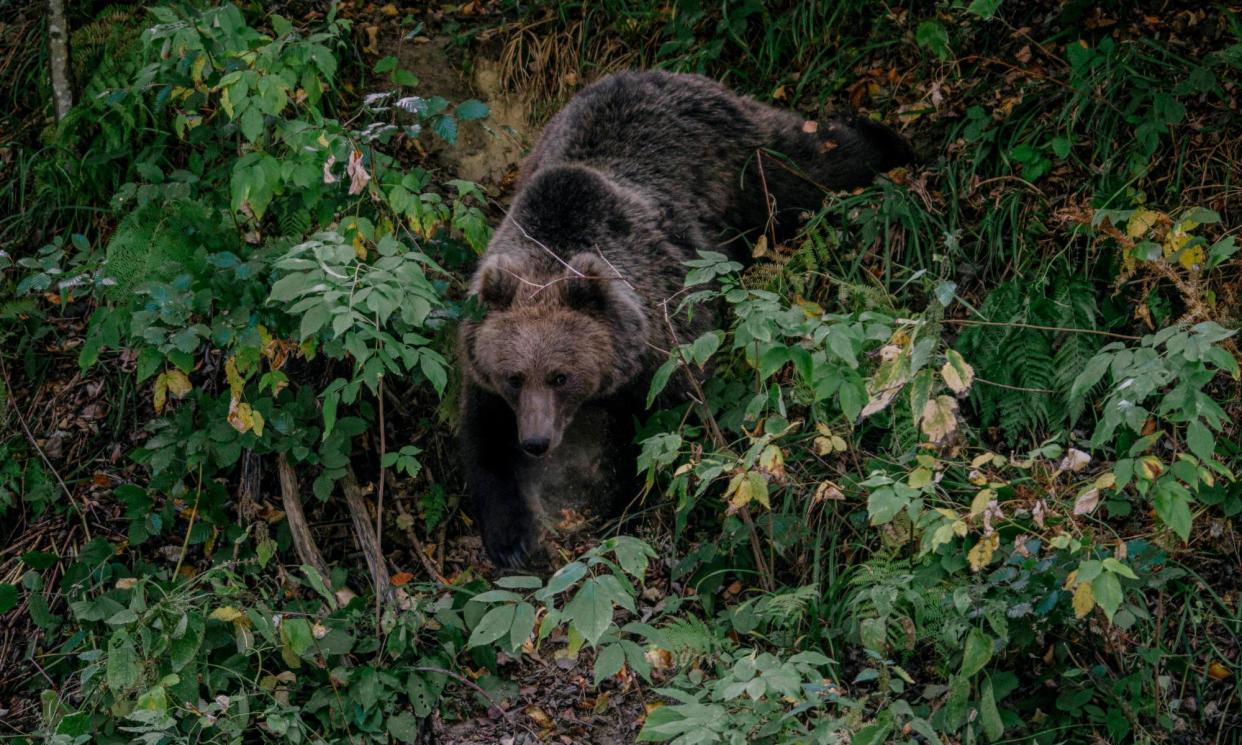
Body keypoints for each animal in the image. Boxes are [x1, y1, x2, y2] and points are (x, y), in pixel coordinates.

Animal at [457, 72, 914, 568]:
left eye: (561, 376)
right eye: (515, 377)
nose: (536, 441)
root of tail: (662, 74)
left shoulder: (666, 336)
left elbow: (665, 429)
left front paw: (626, 506)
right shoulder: (484, 358)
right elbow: (481, 442)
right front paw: (509, 539)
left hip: (740, 161)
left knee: (805, 165)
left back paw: (887, 141)